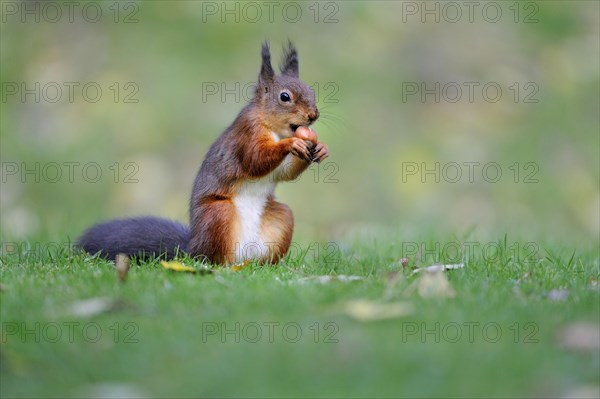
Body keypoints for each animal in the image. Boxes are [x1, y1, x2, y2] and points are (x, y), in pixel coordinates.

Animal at [79, 42, 328, 264]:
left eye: (312, 91)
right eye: (284, 97)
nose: (313, 115)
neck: (274, 128)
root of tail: (192, 249)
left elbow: (284, 173)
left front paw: (321, 148)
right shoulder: (246, 133)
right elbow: (254, 160)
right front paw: (291, 143)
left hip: (281, 218)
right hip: (218, 214)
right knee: (213, 258)